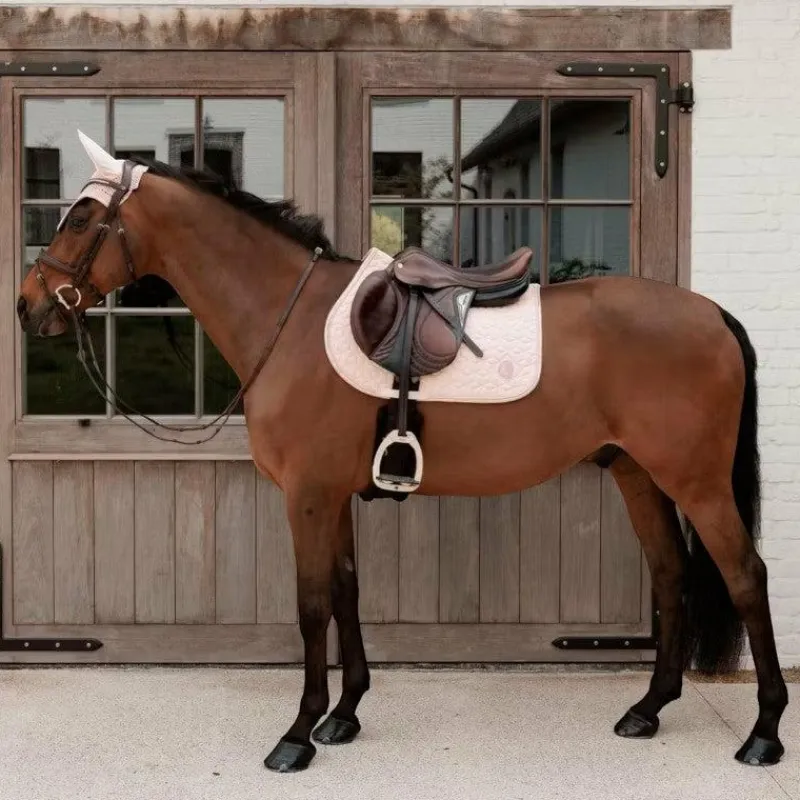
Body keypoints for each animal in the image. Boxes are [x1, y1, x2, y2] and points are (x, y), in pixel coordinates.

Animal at [16, 132, 788, 773]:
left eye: (79, 218)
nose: (28, 305)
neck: (290, 319)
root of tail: (711, 313)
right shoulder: (332, 496)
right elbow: (348, 593)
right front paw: (343, 717)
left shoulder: (308, 496)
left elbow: (313, 608)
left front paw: (296, 736)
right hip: (639, 475)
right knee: (670, 574)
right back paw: (648, 710)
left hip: (697, 482)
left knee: (746, 575)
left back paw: (763, 734)